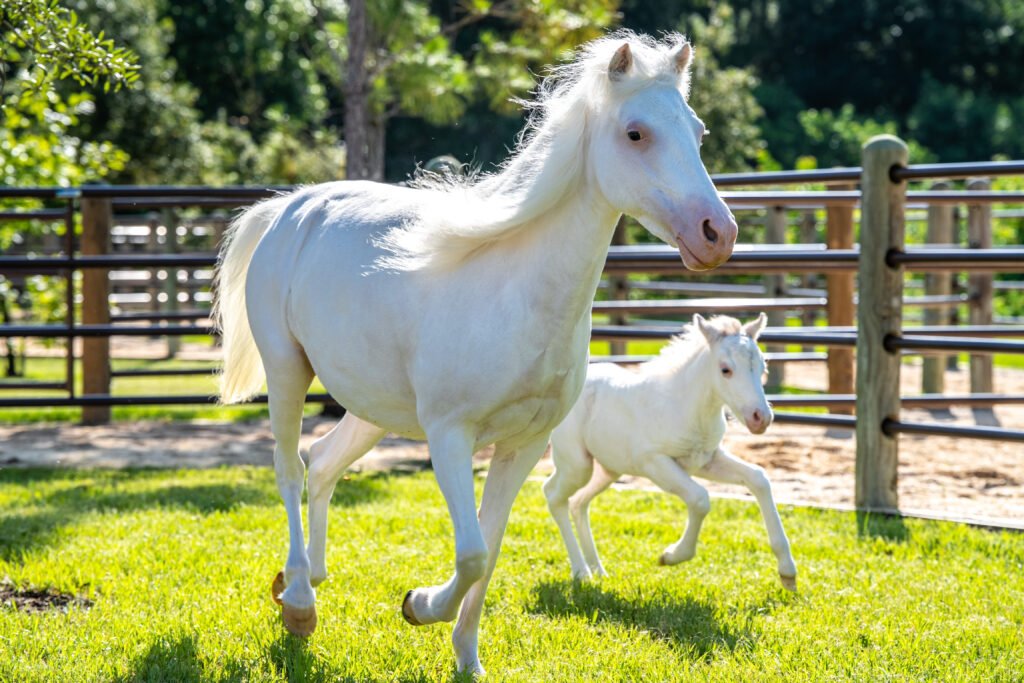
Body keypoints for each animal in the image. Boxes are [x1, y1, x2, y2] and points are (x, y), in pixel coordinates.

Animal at [214, 30, 737, 671]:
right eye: (636, 133)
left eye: (698, 131)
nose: (718, 234)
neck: (518, 294)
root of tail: (288, 208)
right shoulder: (449, 435)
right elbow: (470, 552)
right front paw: (418, 605)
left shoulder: (524, 445)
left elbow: (489, 551)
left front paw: (466, 658)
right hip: (287, 370)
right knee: (289, 469)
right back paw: (299, 605)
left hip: (370, 407)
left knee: (325, 460)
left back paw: (304, 575)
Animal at [544, 317, 798, 593]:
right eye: (725, 370)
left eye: (762, 366)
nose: (760, 418)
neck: (686, 407)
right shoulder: (654, 462)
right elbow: (700, 498)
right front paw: (670, 556)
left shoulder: (706, 460)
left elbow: (758, 478)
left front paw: (788, 573)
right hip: (577, 465)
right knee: (553, 494)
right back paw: (582, 573)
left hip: (608, 470)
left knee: (579, 503)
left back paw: (599, 571)